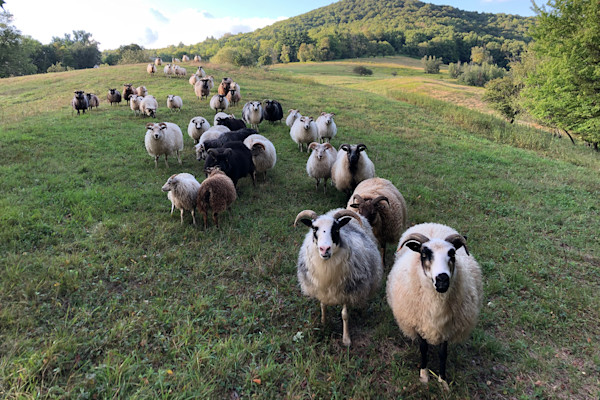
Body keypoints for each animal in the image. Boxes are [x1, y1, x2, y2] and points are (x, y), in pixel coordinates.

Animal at [294, 208, 383, 347]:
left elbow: (344, 315)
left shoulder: (347, 289)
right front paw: (323, 322)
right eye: (314, 229)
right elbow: (323, 306)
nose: (324, 249)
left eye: (336, 229)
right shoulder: (321, 287)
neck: (327, 266)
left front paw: (346, 339)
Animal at [386, 223, 483, 389]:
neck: (436, 304)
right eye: (424, 254)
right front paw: (424, 375)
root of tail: (431, 225)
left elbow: (443, 354)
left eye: (452, 254)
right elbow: (423, 349)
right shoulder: (418, 324)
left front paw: (442, 380)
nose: (442, 279)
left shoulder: (448, 328)